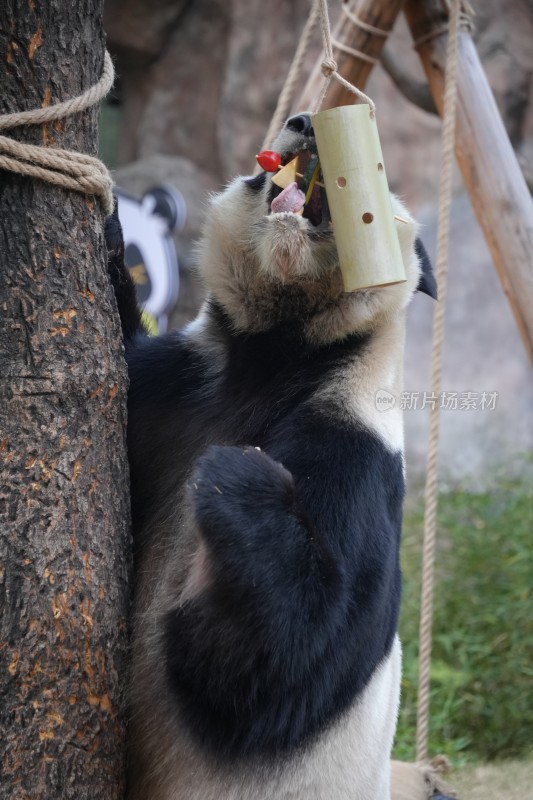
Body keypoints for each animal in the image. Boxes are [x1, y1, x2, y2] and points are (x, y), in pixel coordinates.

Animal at [106, 112, 434, 800]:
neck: (282, 352)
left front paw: (238, 476)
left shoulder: (357, 455)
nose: (306, 121)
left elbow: (287, 665)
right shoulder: (180, 385)